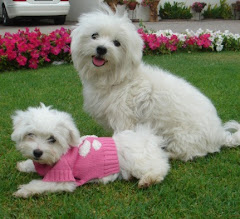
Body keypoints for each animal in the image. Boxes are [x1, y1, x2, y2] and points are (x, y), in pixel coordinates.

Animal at [10, 103, 169, 198]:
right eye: (30, 134)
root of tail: (147, 138)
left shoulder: (63, 178)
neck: (61, 154)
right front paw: (24, 165)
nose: (37, 152)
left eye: (52, 139)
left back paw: (148, 180)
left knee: (160, 168)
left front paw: (24, 190)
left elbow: (41, 184)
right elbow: (31, 165)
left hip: (137, 162)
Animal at [71, 6, 240, 162]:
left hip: (182, 137)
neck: (118, 79)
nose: (101, 49)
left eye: (117, 43)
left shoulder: (124, 120)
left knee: (186, 153)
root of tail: (220, 134)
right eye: (94, 35)